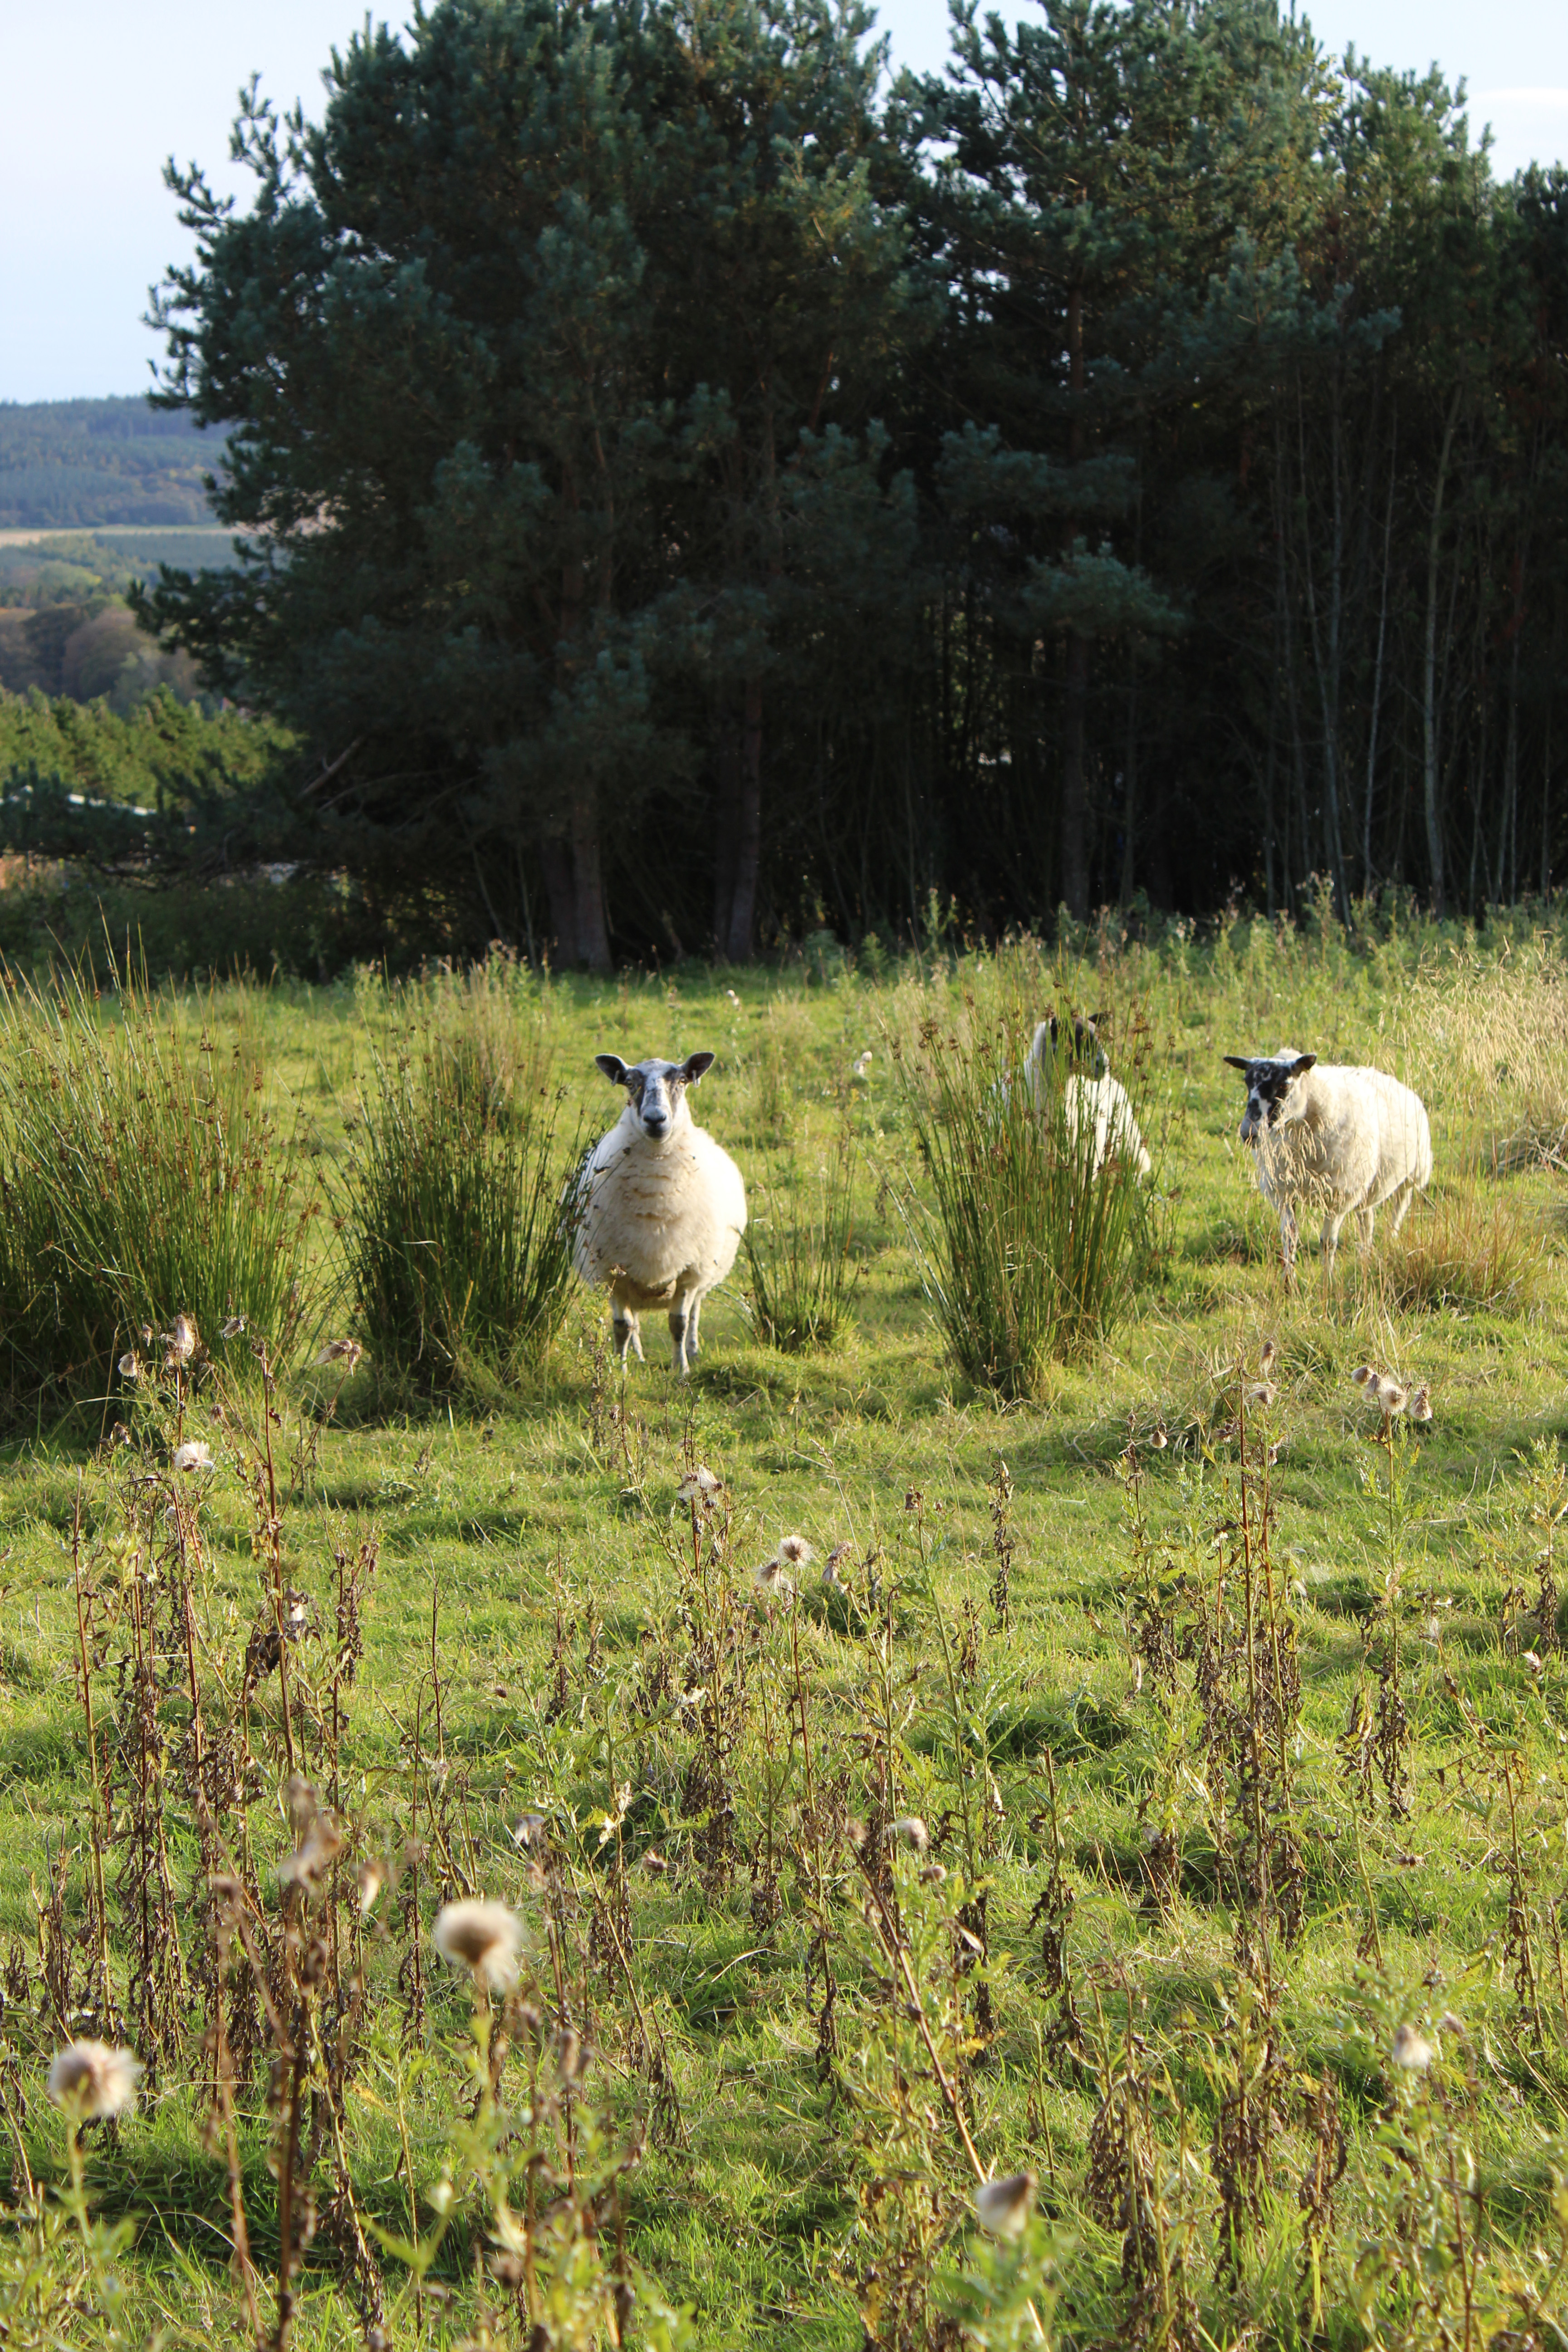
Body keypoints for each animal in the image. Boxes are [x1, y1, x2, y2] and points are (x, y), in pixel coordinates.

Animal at [573, 1051, 747, 1373]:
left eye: (682, 1081)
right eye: (630, 1083)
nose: (656, 1120)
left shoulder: (690, 1269)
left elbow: (679, 1323)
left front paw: (682, 1369)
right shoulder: (613, 1270)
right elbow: (622, 1327)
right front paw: (621, 1370)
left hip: (706, 1269)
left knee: (695, 1312)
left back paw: (693, 1350)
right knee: (635, 1322)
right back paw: (638, 1355)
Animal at [1223, 1049, 1432, 1278]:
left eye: (1284, 1086)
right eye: (1247, 1083)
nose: (1249, 1133)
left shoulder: (1338, 1195)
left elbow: (1328, 1243)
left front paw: (1328, 1280)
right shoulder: (1284, 1192)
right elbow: (1290, 1237)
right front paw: (1288, 1280)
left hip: (1413, 1174)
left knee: (1397, 1211)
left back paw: (1390, 1242)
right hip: (1366, 1183)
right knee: (1366, 1220)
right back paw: (1365, 1255)